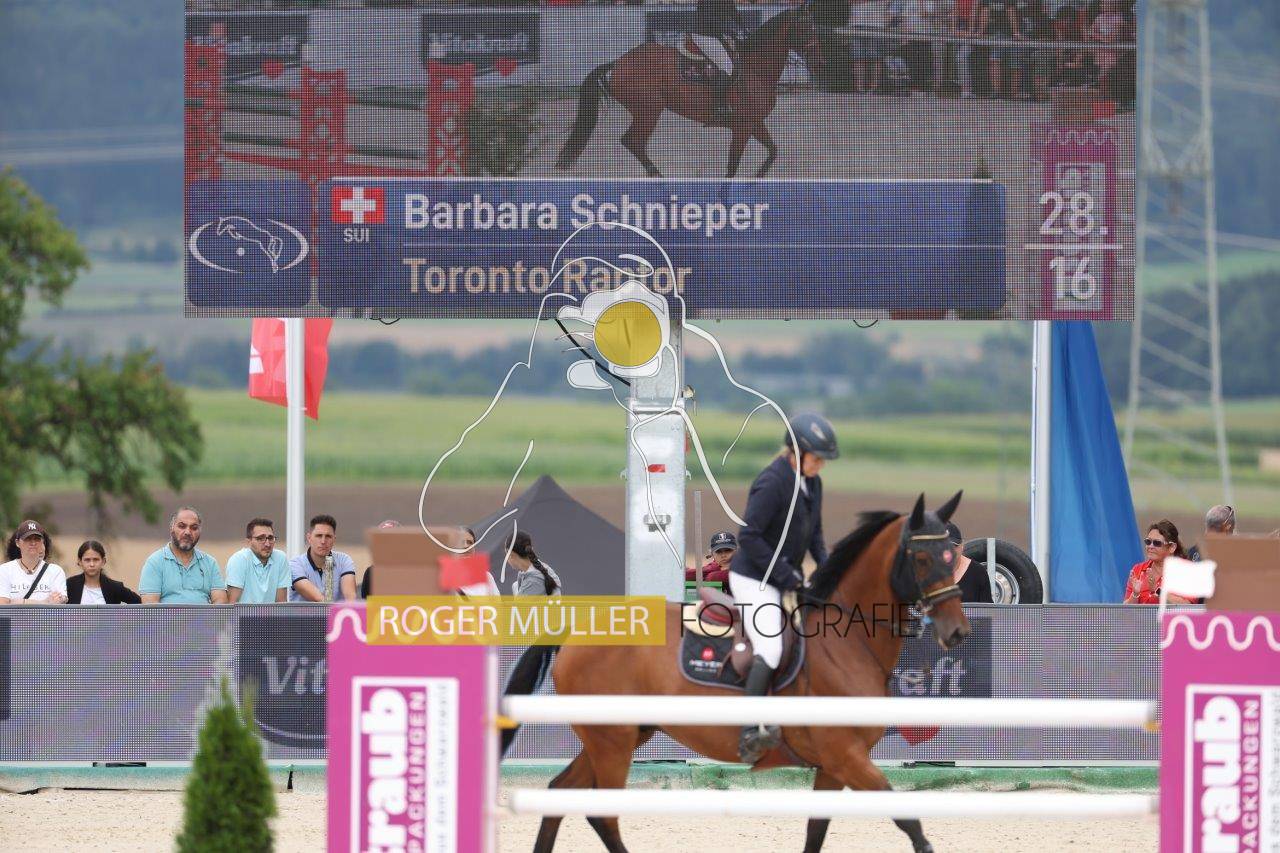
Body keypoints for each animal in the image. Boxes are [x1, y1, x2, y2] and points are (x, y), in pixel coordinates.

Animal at [503, 492, 971, 853]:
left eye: (954, 557)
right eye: (923, 558)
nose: (958, 632)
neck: (846, 643)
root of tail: (582, 630)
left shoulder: (832, 765)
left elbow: (816, 832)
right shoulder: (846, 756)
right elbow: (909, 822)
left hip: (618, 737)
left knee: (559, 796)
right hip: (612, 742)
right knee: (603, 815)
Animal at [555, 8, 825, 179]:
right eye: (805, 28)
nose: (820, 62)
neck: (756, 69)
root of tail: (619, 62)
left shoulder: (755, 124)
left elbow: (772, 151)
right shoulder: (741, 128)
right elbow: (732, 168)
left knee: (633, 142)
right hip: (649, 110)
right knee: (632, 141)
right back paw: (658, 176)